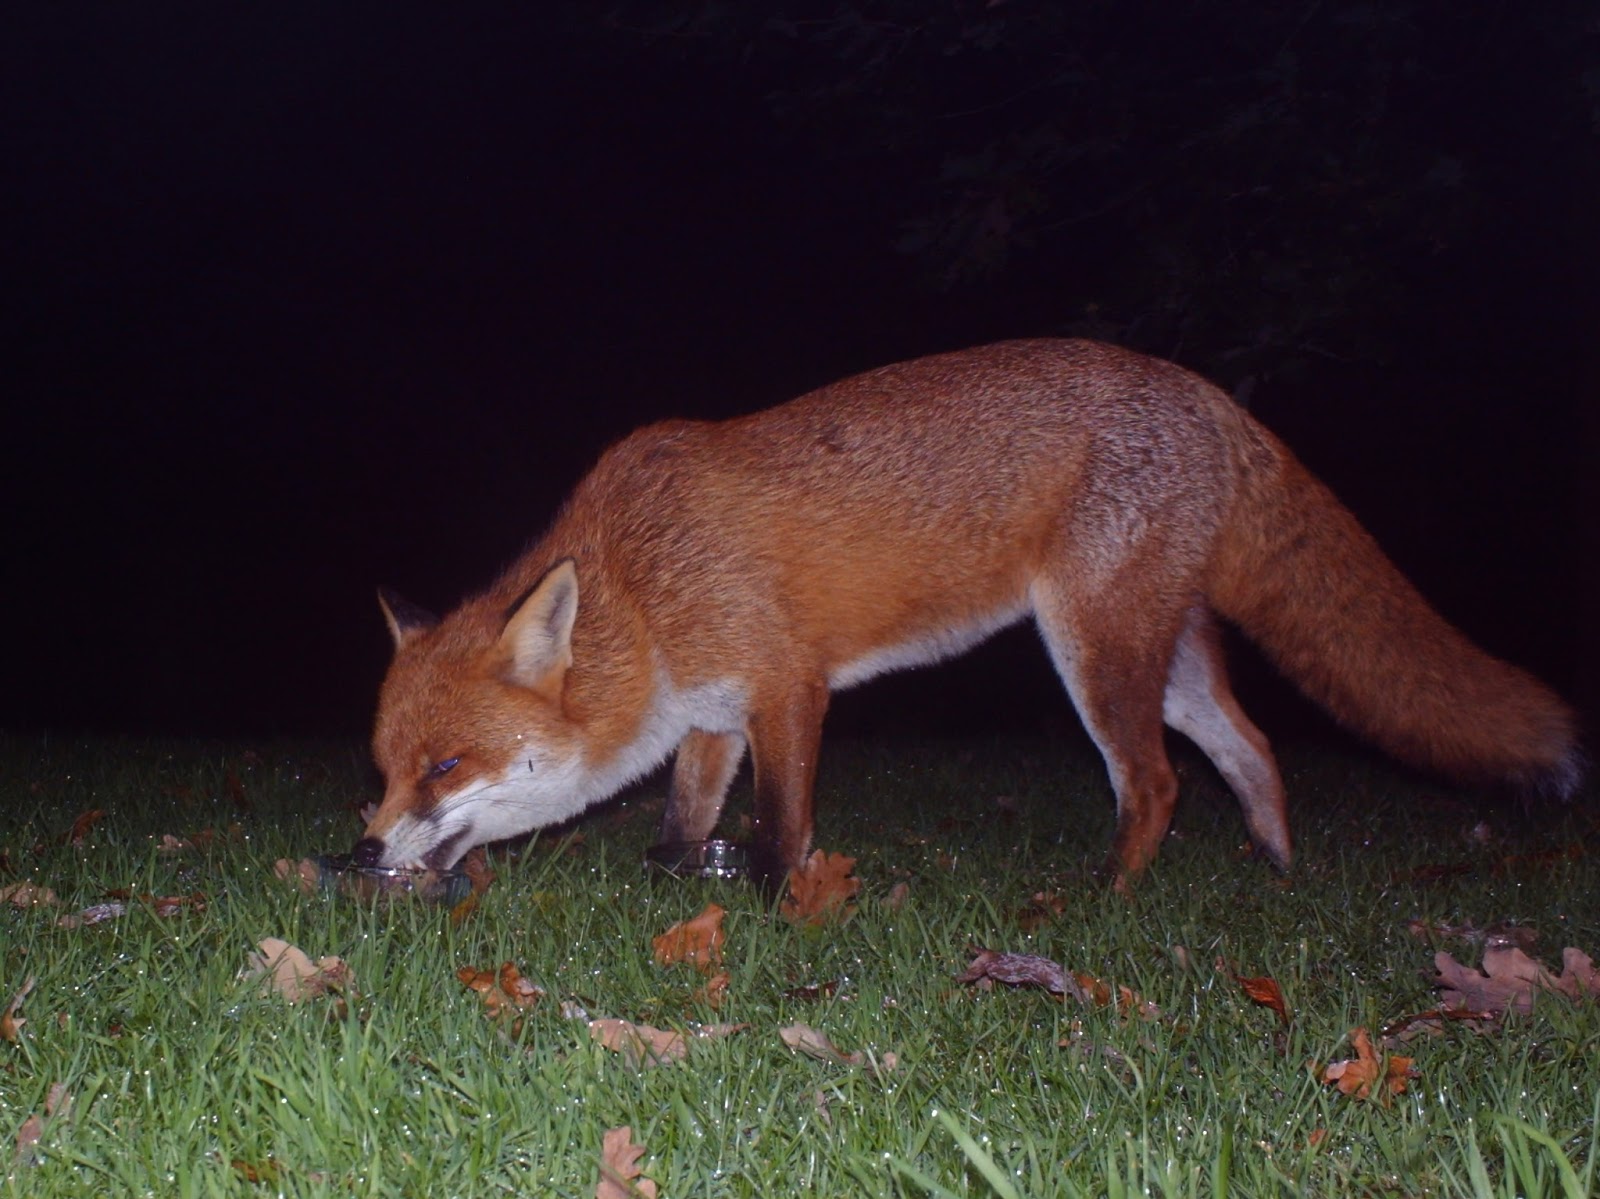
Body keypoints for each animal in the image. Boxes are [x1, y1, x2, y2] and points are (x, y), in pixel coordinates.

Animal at [354, 339, 1581, 888]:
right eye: (383, 768)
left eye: (446, 767)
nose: (360, 848)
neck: (647, 584)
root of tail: (1206, 393)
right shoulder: (708, 710)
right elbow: (684, 819)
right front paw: (675, 881)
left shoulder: (786, 685)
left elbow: (782, 827)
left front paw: (768, 909)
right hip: (1165, 660)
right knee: (1254, 749)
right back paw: (1273, 871)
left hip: (1092, 652)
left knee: (1157, 783)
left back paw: (1105, 900)